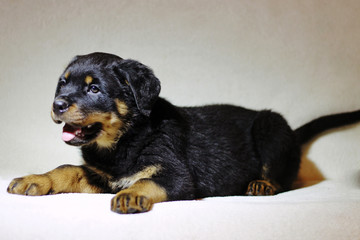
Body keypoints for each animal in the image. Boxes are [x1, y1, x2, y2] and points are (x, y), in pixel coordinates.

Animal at [7, 53, 360, 214]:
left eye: (94, 89)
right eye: (62, 84)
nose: (57, 104)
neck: (123, 141)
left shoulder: (177, 175)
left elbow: (147, 180)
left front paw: (131, 195)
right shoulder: (102, 174)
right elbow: (67, 169)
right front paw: (34, 179)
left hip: (270, 126)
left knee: (283, 176)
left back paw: (262, 184)